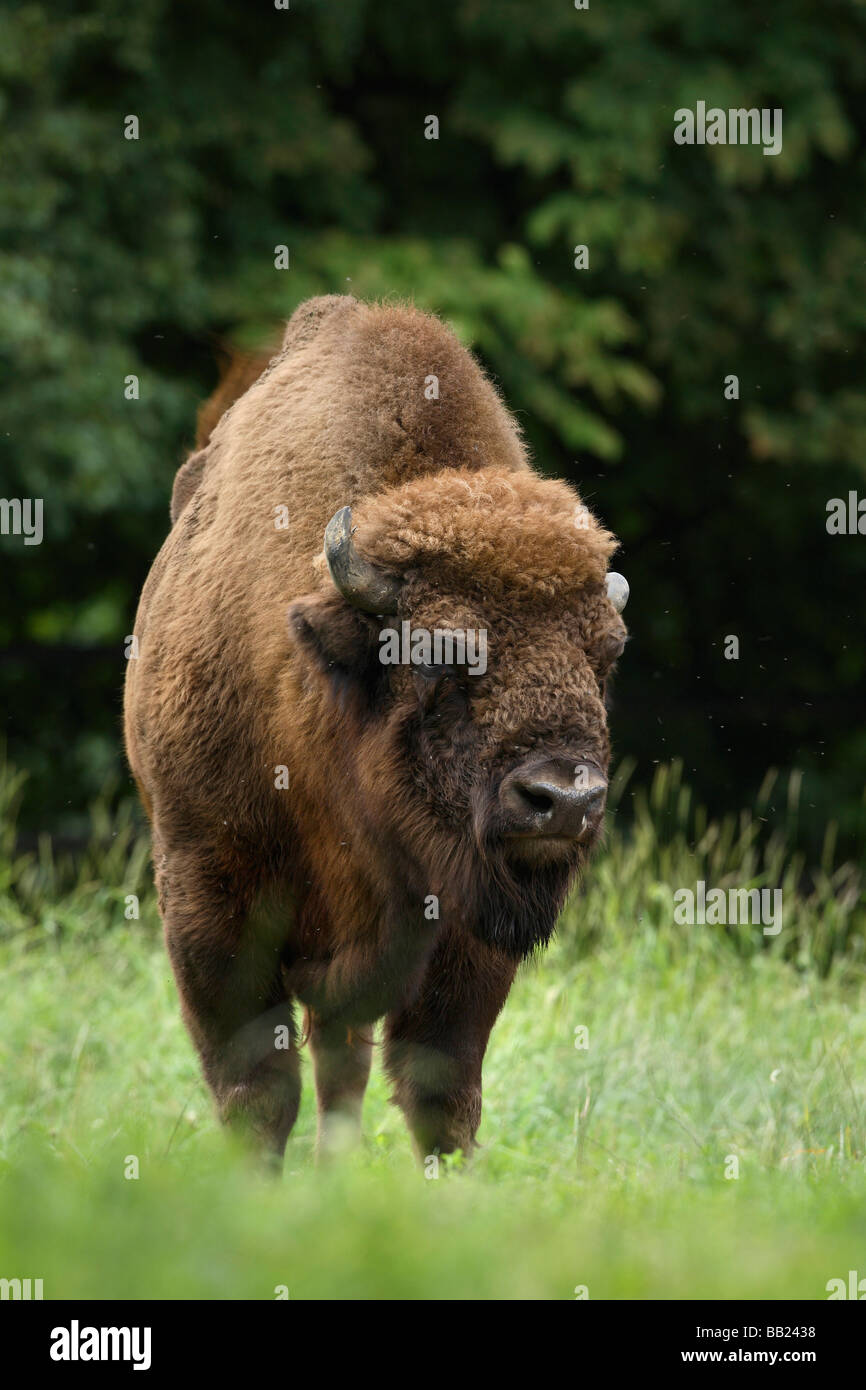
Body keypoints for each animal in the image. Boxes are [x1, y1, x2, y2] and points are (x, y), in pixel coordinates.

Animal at [123, 296, 631, 1162]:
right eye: (437, 651)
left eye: (609, 653)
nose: (563, 799)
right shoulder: (207, 892)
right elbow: (258, 1091)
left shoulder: (468, 932)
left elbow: (440, 1091)